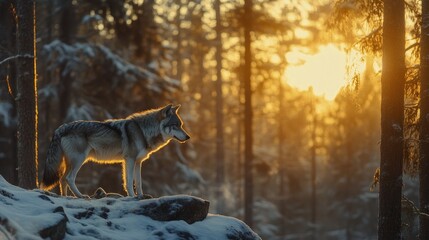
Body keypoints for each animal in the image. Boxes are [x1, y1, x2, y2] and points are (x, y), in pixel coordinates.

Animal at [39, 104, 190, 198]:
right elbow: (129, 182)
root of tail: (60, 128)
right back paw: (81, 196)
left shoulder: (138, 162)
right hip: (79, 160)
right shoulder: (129, 160)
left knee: (62, 179)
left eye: (181, 125)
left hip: (71, 163)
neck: (143, 131)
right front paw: (132, 197)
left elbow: (138, 182)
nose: (188, 137)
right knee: (69, 178)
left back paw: (66, 197)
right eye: (176, 125)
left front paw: (141, 196)